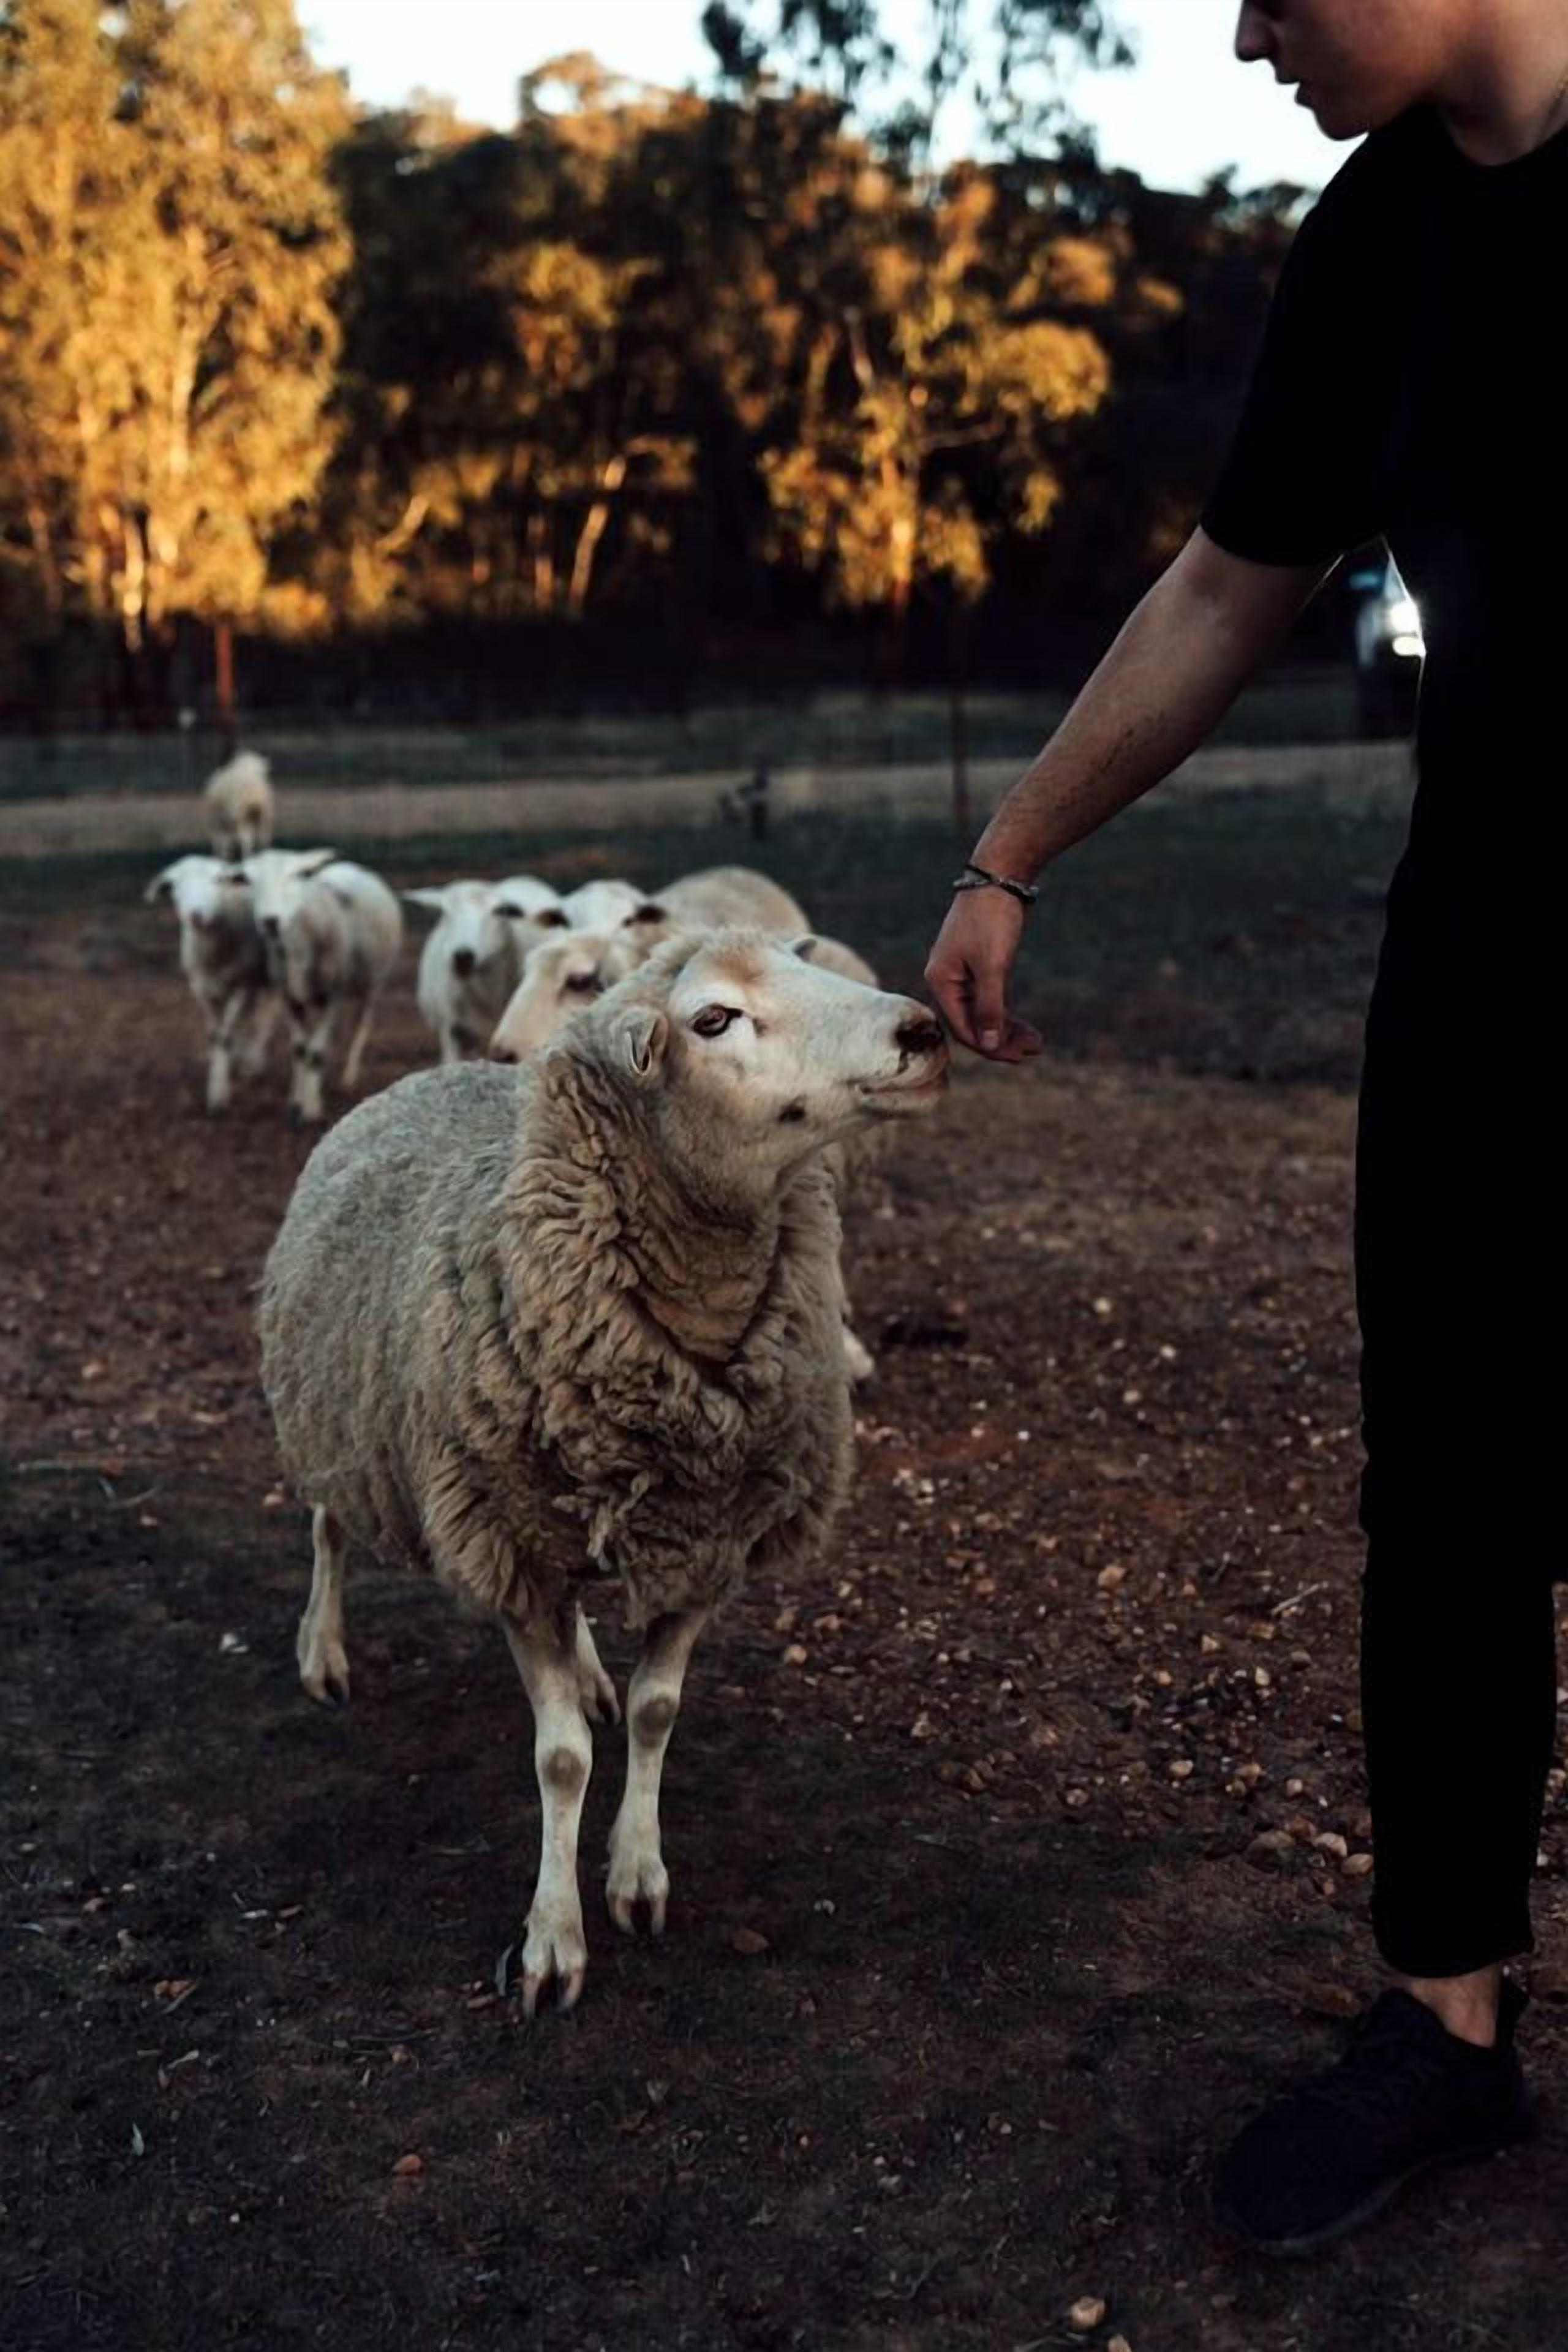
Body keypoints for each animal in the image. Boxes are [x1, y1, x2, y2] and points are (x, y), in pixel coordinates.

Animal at [143, 853, 277, 1113]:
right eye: (175, 886)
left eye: (217, 880)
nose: (196, 915)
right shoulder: (201, 988)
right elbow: (215, 1034)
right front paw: (221, 1073)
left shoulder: (241, 986)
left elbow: (225, 1036)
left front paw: (219, 1095)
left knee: (266, 1014)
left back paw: (253, 1061)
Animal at [242, 849, 404, 1124]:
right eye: (251, 881)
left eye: (295, 875)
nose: (270, 921)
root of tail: (352, 866)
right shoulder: (290, 999)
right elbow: (299, 1050)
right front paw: (296, 1104)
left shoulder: (332, 996)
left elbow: (316, 1054)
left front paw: (312, 1109)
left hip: (371, 984)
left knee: (360, 1025)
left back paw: (348, 1076)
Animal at [258, 929, 948, 2013]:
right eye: (713, 1019)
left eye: (808, 963)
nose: (923, 1030)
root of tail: (429, 1072)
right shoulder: (506, 1543)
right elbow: (560, 1761)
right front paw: (553, 1937)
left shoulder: (708, 1537)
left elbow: (660, 1712)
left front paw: (636, 1873)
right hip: (343, 1418)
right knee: (329, 1530)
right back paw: (322, 1652)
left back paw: (585, 1675)